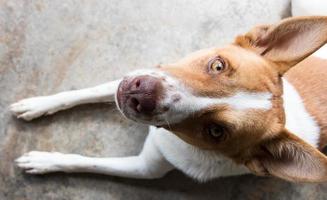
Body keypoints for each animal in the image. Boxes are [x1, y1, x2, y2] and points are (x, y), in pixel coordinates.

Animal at [10, 16, 327, 182]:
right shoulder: (146, 71)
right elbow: (85, 92)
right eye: (218, 65)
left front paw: (45, 161)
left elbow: (88, 162)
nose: (141, 93)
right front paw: (37, 104)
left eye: (216, 131)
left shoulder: (144, 169)